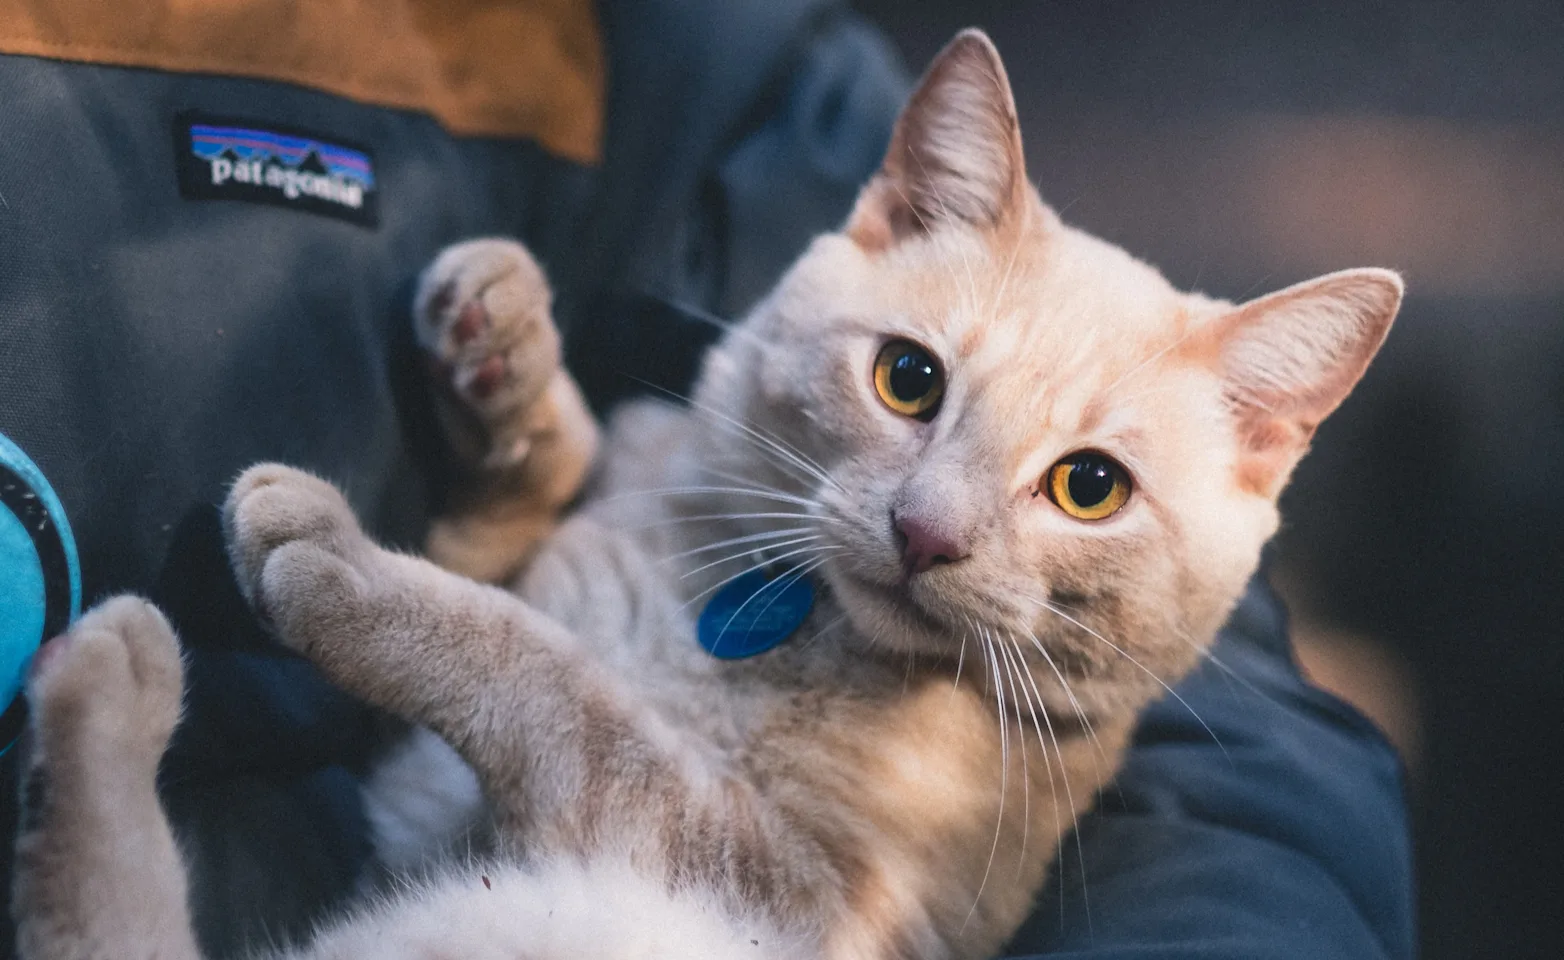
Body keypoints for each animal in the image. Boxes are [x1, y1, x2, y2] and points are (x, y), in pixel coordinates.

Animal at [18, 28, 1401, 960]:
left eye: (1090, 487)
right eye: (908, 380)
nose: (925, 534)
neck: (754, 629)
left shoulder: (771, 880)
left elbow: (558, 684)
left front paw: (344, 564)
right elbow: (515, 523)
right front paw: (503, 346)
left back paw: (107, 678)